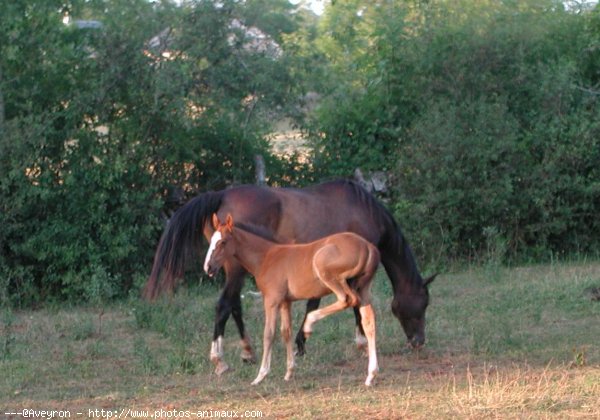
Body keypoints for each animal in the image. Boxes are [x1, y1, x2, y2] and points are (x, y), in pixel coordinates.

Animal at [203, 215, 380, 386]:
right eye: (211, 241)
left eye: (223, 242)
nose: (208, 267)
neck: (266, 257)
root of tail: (367, 246)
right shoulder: (285, 302)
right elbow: (285, 331)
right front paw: (289, 372)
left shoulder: (272, 300)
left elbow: (269, 334)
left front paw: (261, 375)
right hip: (363, 289)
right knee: (369, 322)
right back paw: (371, 375)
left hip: (328, 272)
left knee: (347, 300)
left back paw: (309, 325)